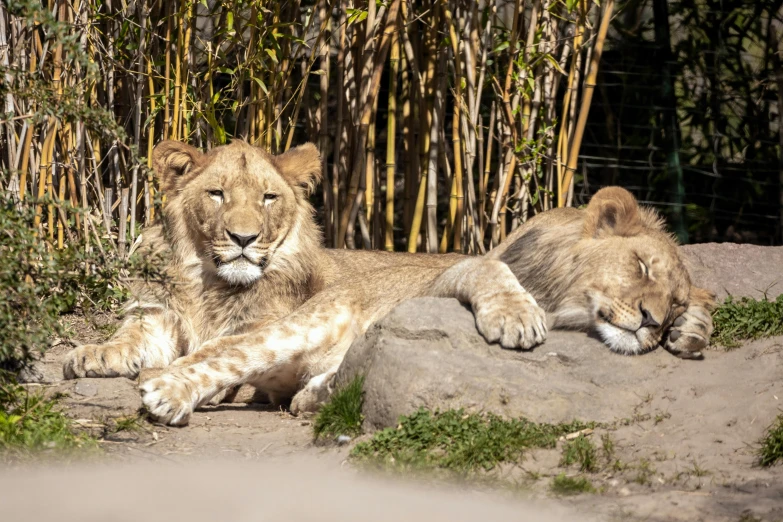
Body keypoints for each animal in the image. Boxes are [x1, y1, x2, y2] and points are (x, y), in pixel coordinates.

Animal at [62, 140, 716, 424]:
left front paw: (693, 331)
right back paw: (168, 391)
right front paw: (514, 315)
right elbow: (490, 268)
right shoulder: (450, 270)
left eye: (671, 298)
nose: (654, 323)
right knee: (220, 356)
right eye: (641, 266)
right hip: (307, 322)